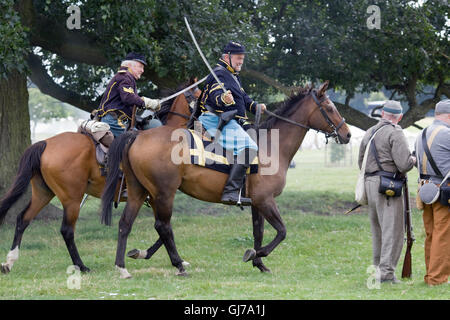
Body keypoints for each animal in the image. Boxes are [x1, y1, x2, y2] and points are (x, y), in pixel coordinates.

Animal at [0, 77, 200, 272]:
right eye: (197, 95)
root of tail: (45, 143)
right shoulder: (158, 196)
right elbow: (163, 228)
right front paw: (152, 255)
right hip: (72, 199)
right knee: (67, 230)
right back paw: (81, 266)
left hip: (43, 192)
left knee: (23, 219)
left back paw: (9, 262)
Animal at [101, 81, 352, 278]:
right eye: (330, 108)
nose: (347, 134)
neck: (272, 147)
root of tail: (137, 136)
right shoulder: (265, 200)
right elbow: (281, 231)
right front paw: (255, 254)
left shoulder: (257, 203)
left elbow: (259, 232)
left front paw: (260, 264)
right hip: (163, 194)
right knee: (162, 227)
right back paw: (179, 265)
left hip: (139, 192)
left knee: (126, 224)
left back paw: (122, 267)